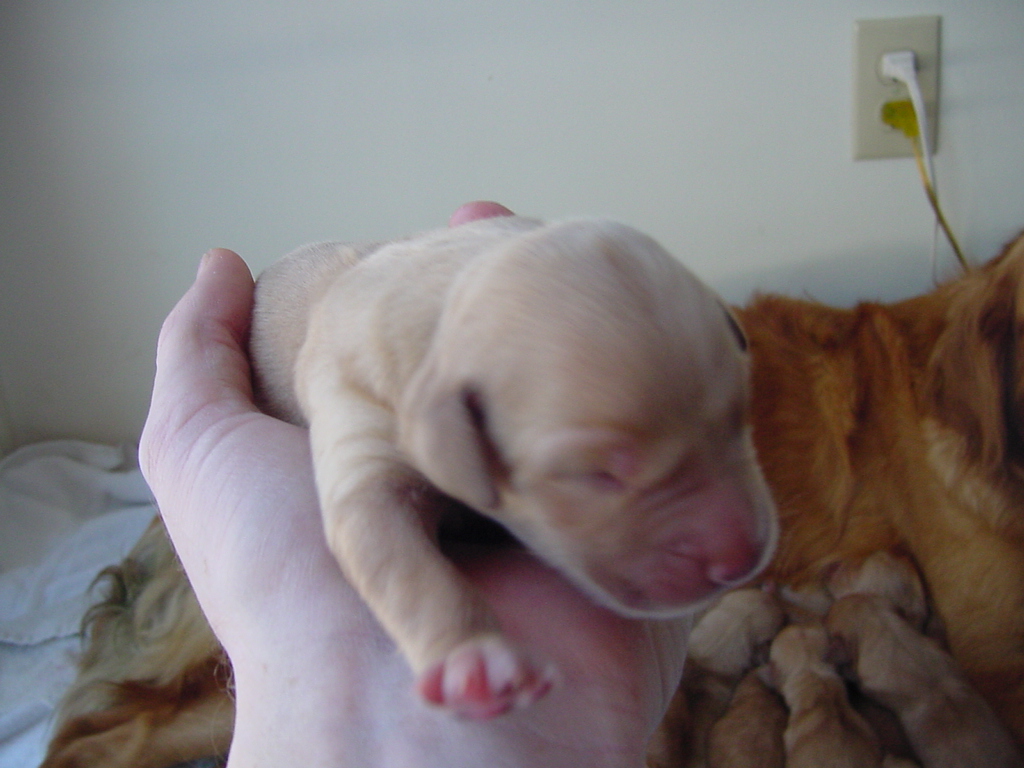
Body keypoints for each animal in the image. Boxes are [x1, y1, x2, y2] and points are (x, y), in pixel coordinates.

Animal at [247, 217, 774, 720]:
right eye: (594, 474)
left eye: (740, 414)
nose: (743, 558)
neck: (444, 302)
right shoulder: (361, 428)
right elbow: (400, 558)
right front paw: (475, 659)